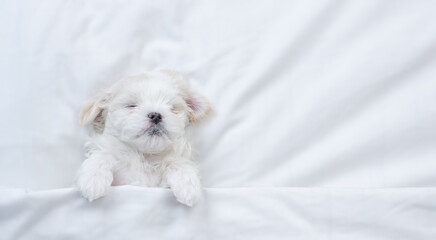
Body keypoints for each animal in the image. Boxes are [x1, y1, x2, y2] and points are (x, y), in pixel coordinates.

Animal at [76, 69, 213, 206]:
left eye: (172, 108)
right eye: (131, 106)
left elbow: (178, 162)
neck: (145, 157)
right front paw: (93, 180)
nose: (156, 115)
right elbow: (102, 155)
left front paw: (188, 186)